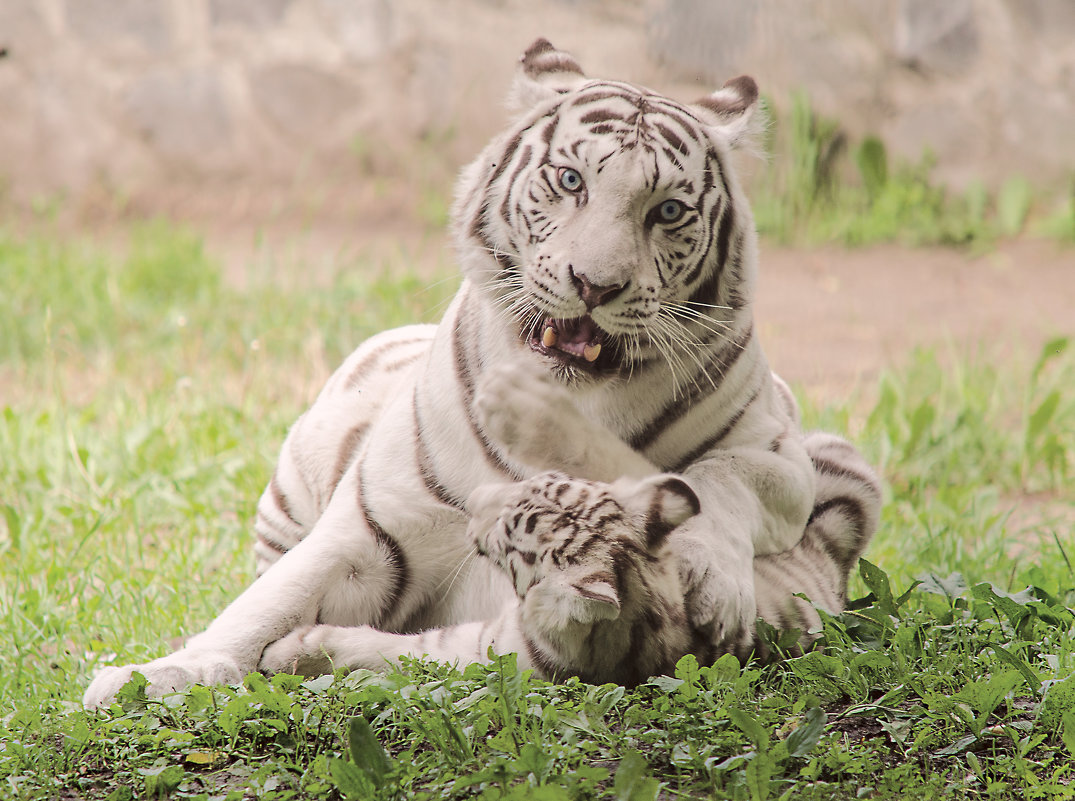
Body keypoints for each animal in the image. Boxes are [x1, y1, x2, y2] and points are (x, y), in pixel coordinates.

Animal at [81, 40, 881, 701]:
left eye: (668, 211)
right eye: (570, 181)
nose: (595, 285)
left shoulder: (778, 456)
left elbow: (714, 482)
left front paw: (716, 588)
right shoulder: (376, 523)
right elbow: (268, 602)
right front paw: (159, 676)